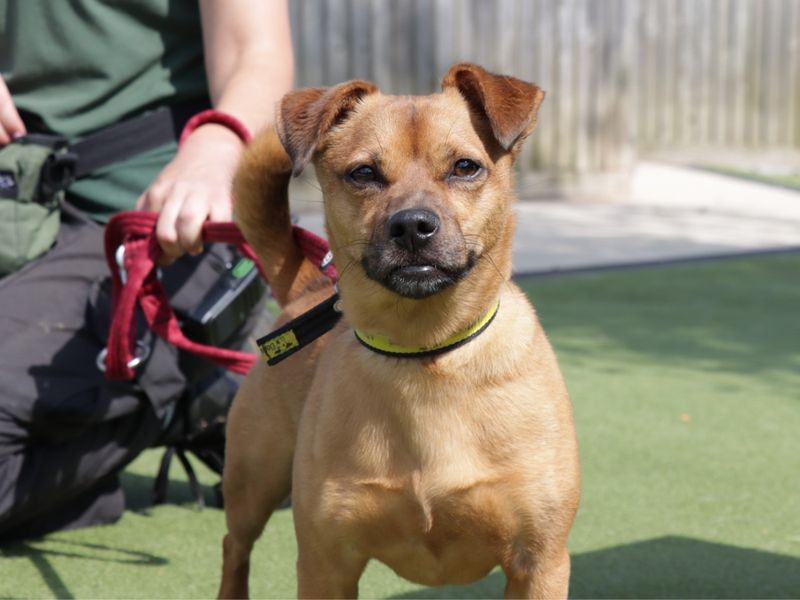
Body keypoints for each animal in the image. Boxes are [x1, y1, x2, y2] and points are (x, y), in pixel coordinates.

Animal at [219, 63, 580, 596]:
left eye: (465, 167)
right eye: (364, 173)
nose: (412, 225)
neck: (426, 353)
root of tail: (308, 290)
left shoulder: (539, 564)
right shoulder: (326, 565)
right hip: (253, 478)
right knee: (235, 547)